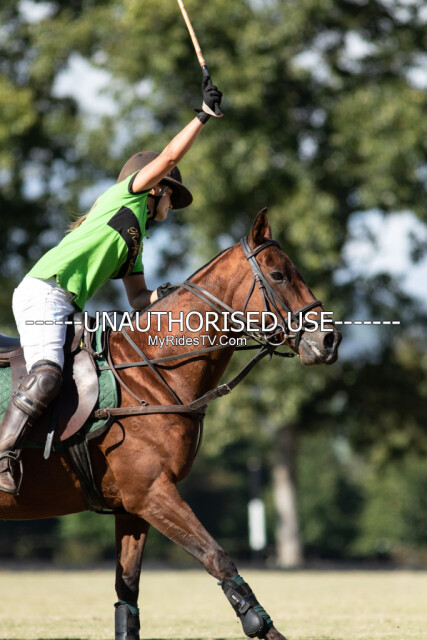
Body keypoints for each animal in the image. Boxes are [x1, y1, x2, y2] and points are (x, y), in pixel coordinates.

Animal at [0, 209, 341, 640]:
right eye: (279, 274)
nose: (330, 340)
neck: (153, 372)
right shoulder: (152, 492)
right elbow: (217, 557)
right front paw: (261, 625)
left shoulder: (132, 506)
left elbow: (127, 591)